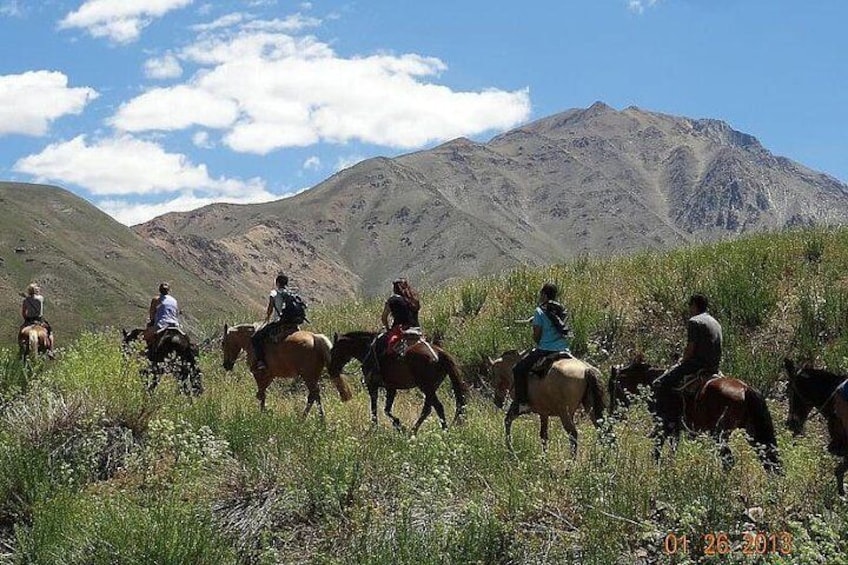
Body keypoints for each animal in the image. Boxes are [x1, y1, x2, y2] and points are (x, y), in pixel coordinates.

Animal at [222, 322, 352, 414]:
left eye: (223, 343)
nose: (226, 365)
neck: (250, 341)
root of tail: (315, 338)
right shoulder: (270, 375)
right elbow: (262, 393)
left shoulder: (259, 374)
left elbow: (261, 394)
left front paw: (262, 413)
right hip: (313, 376)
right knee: (314, 396)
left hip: (308, 376)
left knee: (314, 395)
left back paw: (310, 419)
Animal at [326, 330, 470, 432]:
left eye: (333, 350)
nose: (331, 370)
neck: (368, 350)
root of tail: (439, 353)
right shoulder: (391, 388)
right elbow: (386, 409)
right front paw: (398, 425)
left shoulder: (373, 386)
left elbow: (375, 409)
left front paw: (377, 427)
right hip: (430, 388)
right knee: (427, 409)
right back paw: (413, 431)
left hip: (426, 387)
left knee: (438, 407)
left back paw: (443, 431)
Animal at [608, 356, 780, 472]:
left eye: (612, 388)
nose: (613, 414)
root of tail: (745, 388)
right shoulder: (675, 430)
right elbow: (672, 450)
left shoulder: (664, 428)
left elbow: (656, 451)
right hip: (752, 432)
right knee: (767, 457)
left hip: (720, 435)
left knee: (729, 460)